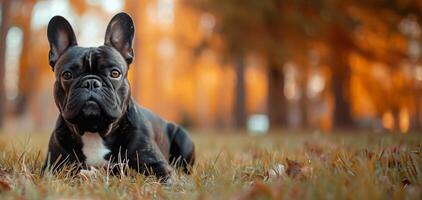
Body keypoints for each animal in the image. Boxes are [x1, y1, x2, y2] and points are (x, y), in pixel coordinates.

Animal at [42, 12, 195, 180]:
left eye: (115, 73)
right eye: (67, 75)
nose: (91, 82)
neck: (94, 131)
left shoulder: (158, 165)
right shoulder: (52, 167)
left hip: (183, 137)